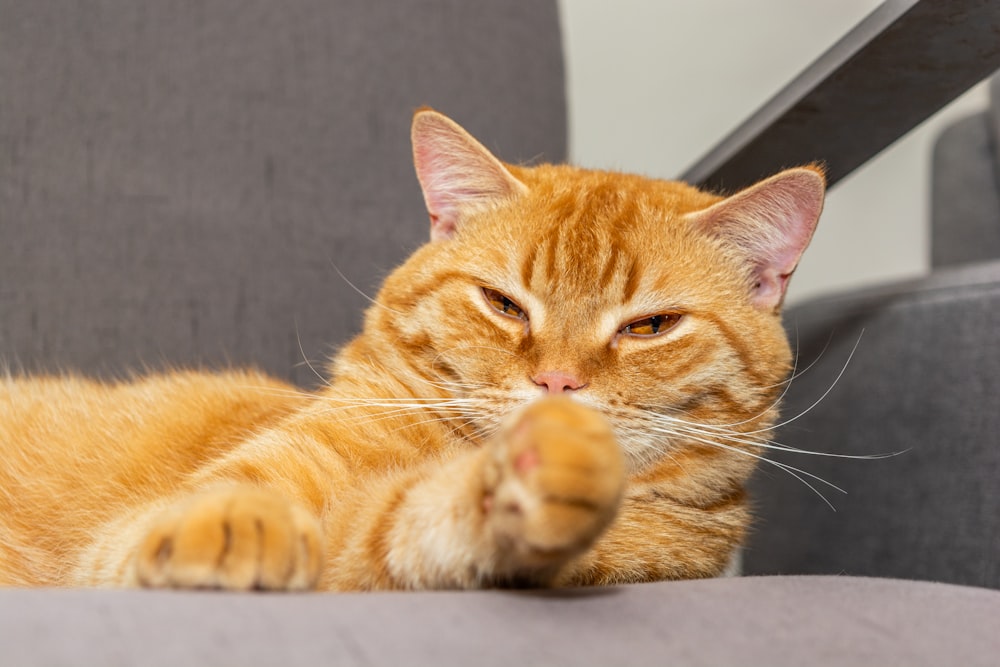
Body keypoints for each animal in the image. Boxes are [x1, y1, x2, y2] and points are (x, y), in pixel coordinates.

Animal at [0, 108, 824, 588]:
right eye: (502, 304)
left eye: (649, 327)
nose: (557, 383)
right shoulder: (114, 547)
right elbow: (236, 497)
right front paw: (238, 520)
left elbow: (397, 528)